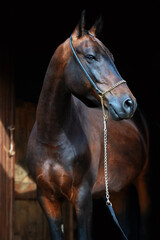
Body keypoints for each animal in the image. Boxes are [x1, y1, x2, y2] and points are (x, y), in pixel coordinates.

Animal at [26, 12, 150, 240]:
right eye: (91, 56)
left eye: (112, 57)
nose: (129, 103)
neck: (52, 135)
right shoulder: (47, 198)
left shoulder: (83, 198)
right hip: (117, 193)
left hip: (144, 183)